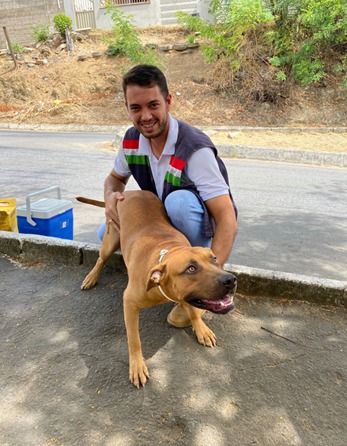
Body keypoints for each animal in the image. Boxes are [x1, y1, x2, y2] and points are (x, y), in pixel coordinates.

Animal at [78, 190, 237, 388]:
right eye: (191, 269)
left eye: (214, 258)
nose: (231, 280)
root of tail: (127, 192)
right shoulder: (129, 303)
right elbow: (134, 339)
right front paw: (137, 365)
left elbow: (193, 310)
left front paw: (200, 328)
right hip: (111, 238)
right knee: (101, 259)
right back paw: (91, 277)